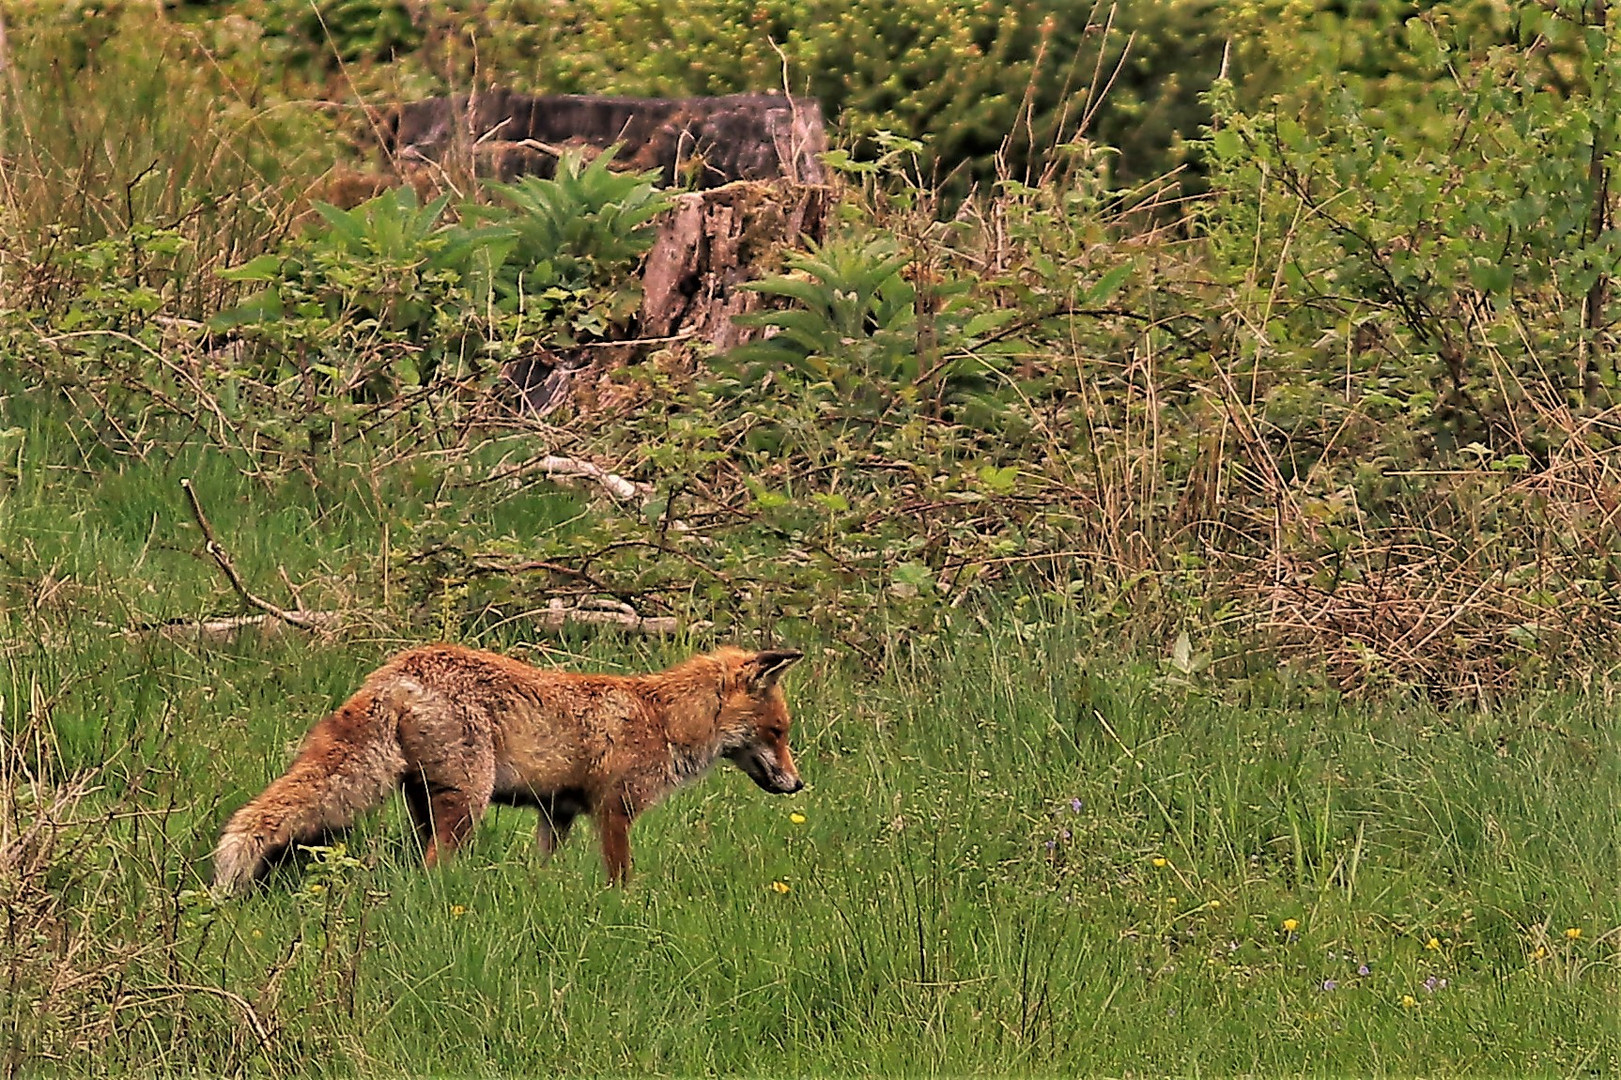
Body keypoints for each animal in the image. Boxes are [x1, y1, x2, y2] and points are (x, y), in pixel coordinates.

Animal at [212, 638, 807, 888]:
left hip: (426, 802)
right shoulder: (613, 810)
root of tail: (395, 670)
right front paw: (625, 911)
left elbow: (544, 868)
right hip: (467, 803)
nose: (798, 784)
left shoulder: (558, 814)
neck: (663, 721)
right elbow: (621, 879)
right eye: (778, 732)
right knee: (433, 868)